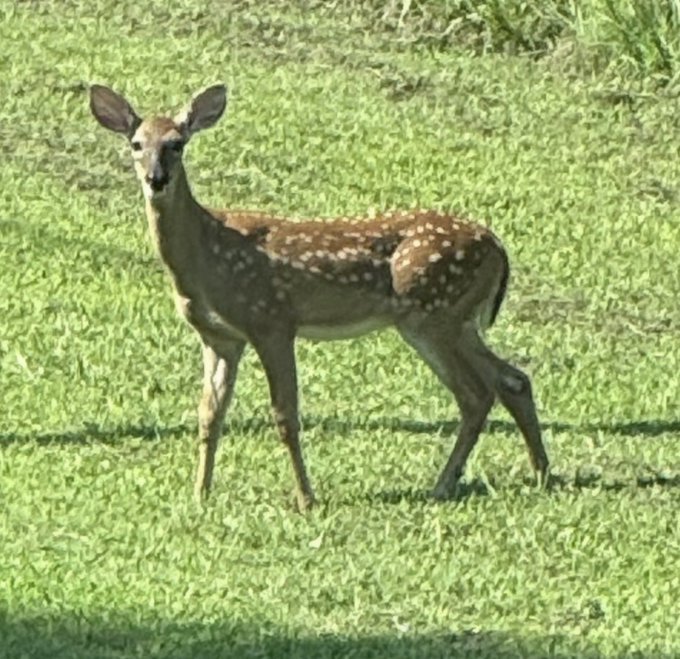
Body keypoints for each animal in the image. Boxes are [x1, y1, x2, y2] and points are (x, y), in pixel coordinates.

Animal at [89, 83, 549, 511]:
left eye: (177, 143)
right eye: (136, 144)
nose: (156, 179)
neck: (207, 254)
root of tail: (498, 247)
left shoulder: (272, 320)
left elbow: (285, 415)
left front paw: (306, 499)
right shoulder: (219, 336)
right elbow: (209, 414)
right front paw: (200, 494)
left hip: (433, 314)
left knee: (476, 392)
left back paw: (445, 484)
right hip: (453, 320)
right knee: (511, 379)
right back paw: (538, 473)